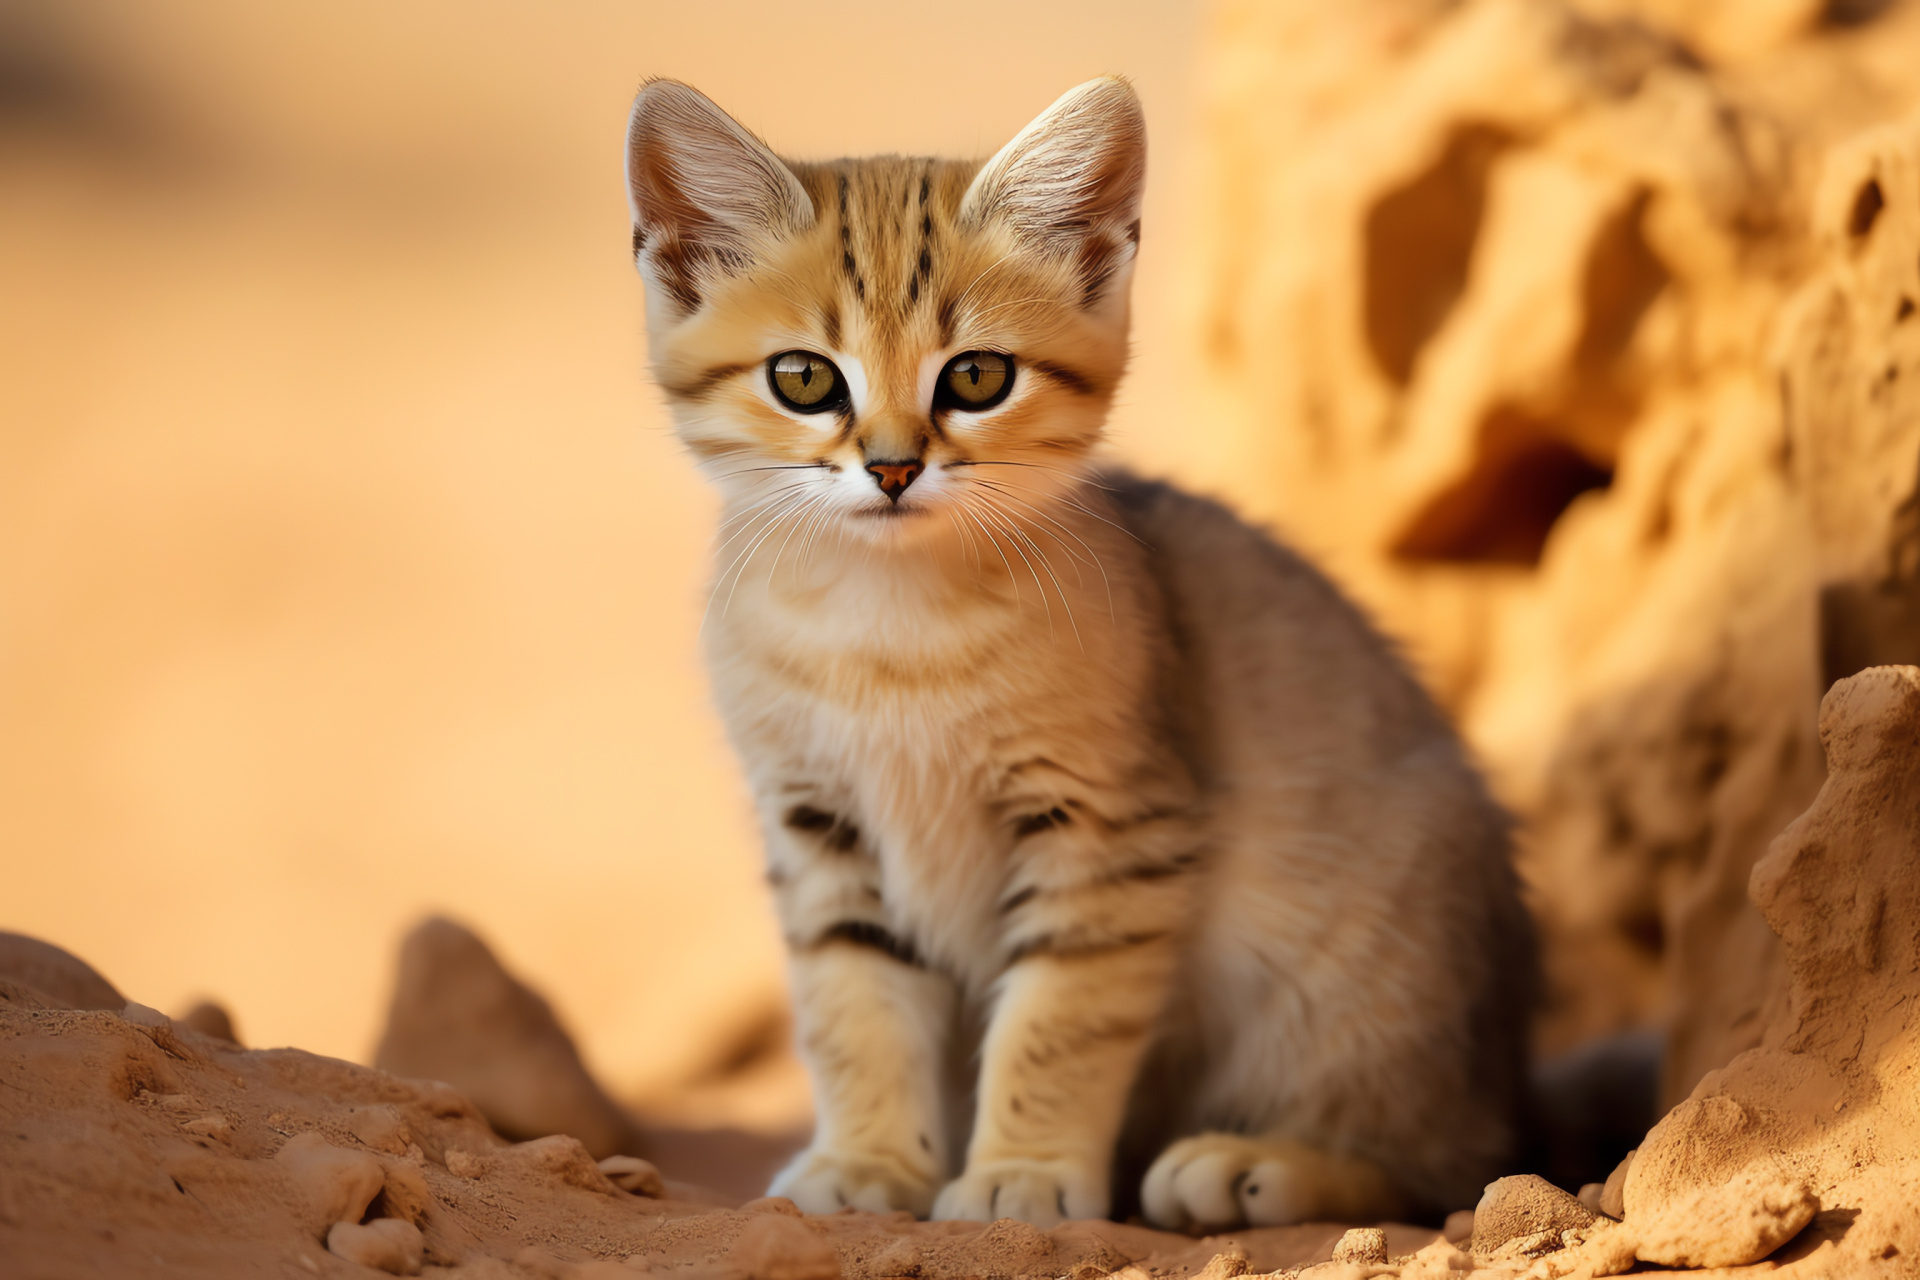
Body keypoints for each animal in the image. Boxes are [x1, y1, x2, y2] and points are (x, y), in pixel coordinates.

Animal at [622, 77, 1536, 1228]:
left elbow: (1059, 1019)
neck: (889, 631)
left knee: (1449, 1161)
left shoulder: (1112, 829)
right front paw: (870, 1160)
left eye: (976, 377)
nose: (892, 468)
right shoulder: (818, 831)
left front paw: (1024, 1172)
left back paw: (1260, 1165)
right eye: (802, 379)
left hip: (1357, 975)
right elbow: (852, 1008)